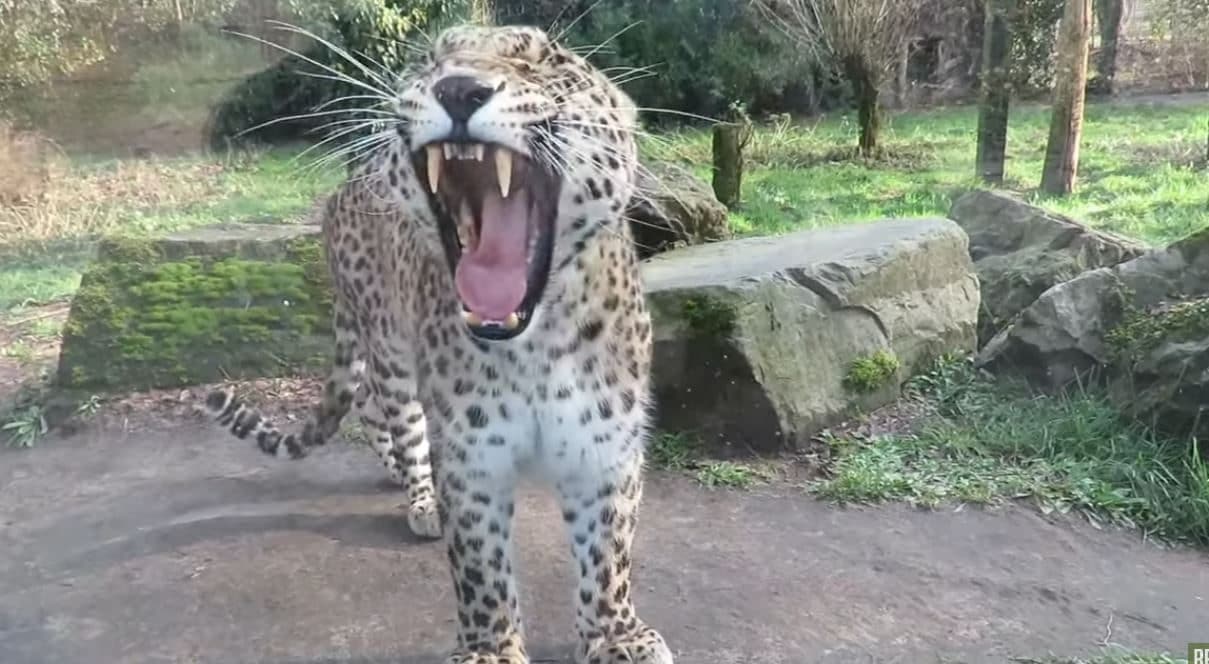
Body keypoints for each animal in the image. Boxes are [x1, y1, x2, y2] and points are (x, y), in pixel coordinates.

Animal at [202, 22, 673, 664]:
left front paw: (616, 636)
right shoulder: (472, 457)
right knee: (390, 411)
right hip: (387, 341)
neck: (533, 344)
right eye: (430, 61)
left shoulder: (603, 447)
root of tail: (346, 187)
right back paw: (418, 491)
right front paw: (490, 648)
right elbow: (480, 567)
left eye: (543, 60)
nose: (459, 88)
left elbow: (607, 555)